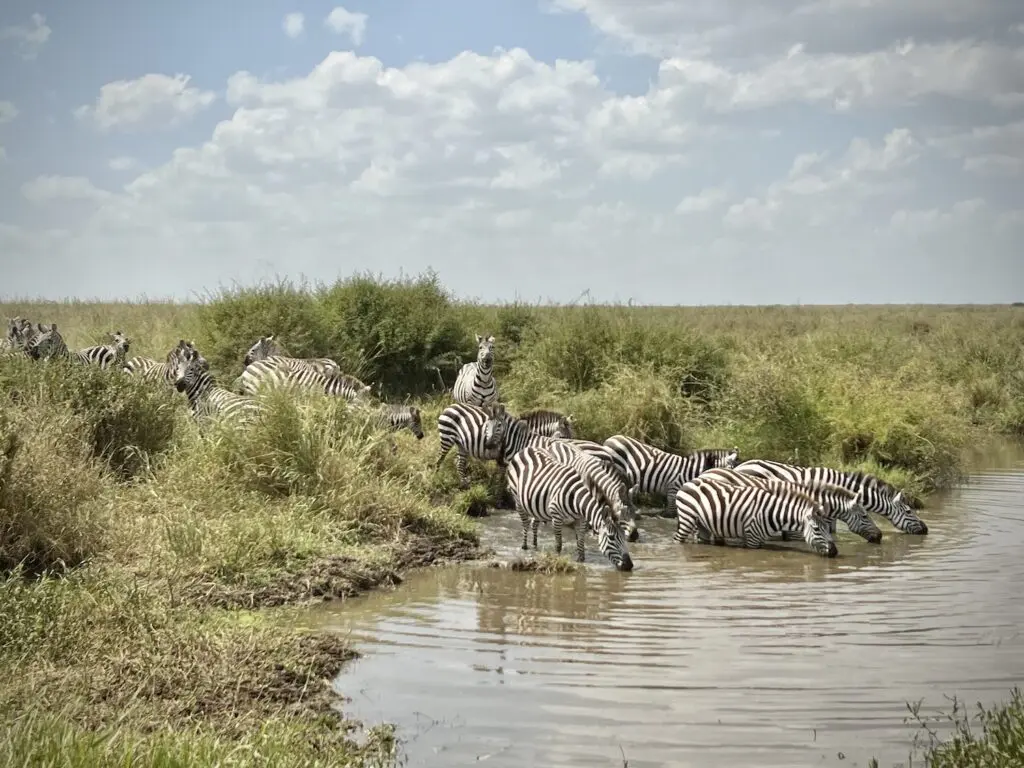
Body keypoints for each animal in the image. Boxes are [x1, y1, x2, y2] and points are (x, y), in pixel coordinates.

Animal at [674, 479, 838, 558]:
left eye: (827, 528)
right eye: (816, 529)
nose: (835, 552)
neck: (773, 512)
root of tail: (689, 482)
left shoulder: (759, 539)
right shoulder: (752, 538)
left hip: (702, 524)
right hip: (687, 517)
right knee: (677, 540)